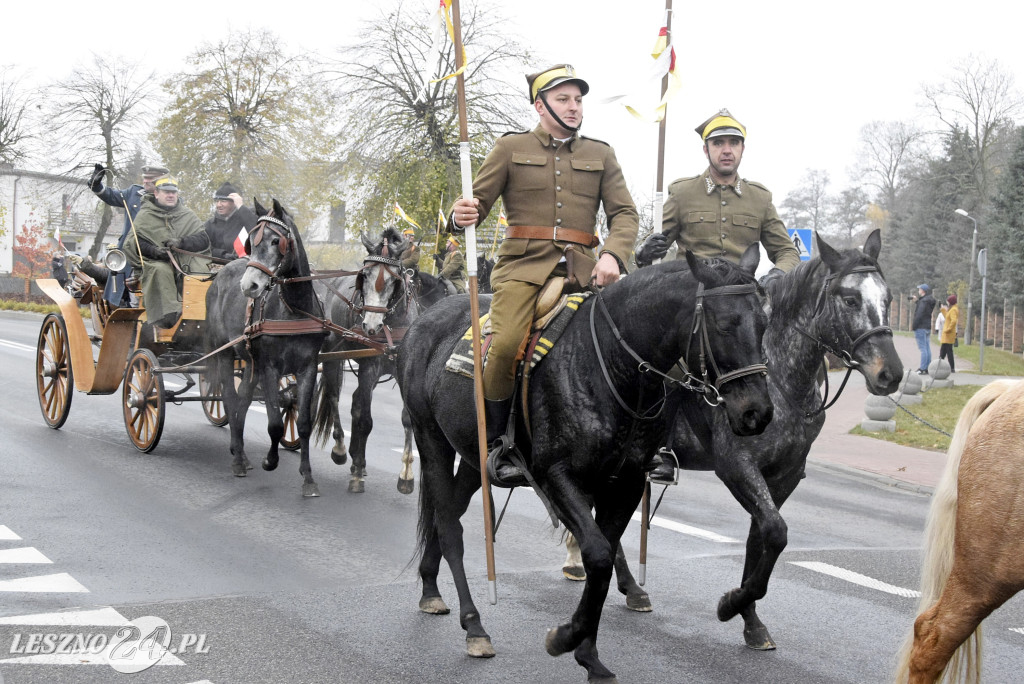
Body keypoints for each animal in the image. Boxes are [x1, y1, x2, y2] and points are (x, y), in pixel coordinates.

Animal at [201, 198, 325, 497]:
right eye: (251, 243)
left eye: (275, 240)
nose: (250, 286)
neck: (295, 309)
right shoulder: (271, 368)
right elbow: (275, 424)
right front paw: (270, 460)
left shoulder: (308, 368)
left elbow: (303, 424)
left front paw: (308, 477)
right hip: (225, 353)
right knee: (230, 399)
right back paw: (237, 459)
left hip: (249, 362)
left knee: (243, 399)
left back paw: (241, 452)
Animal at [395, 246, 770, 684]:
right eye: (726, 325)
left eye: (764, 324)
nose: (757, 413)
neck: (613, 365)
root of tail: (425, 319)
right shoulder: (557, 476)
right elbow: (598, 556)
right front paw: (567, 637)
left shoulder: (625, 484)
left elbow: (602, 561)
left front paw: (588, 653)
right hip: (431, 438)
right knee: (450, 527)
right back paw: (474, 626)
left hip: (474, 459)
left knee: (448, 513)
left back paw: (430, 588)